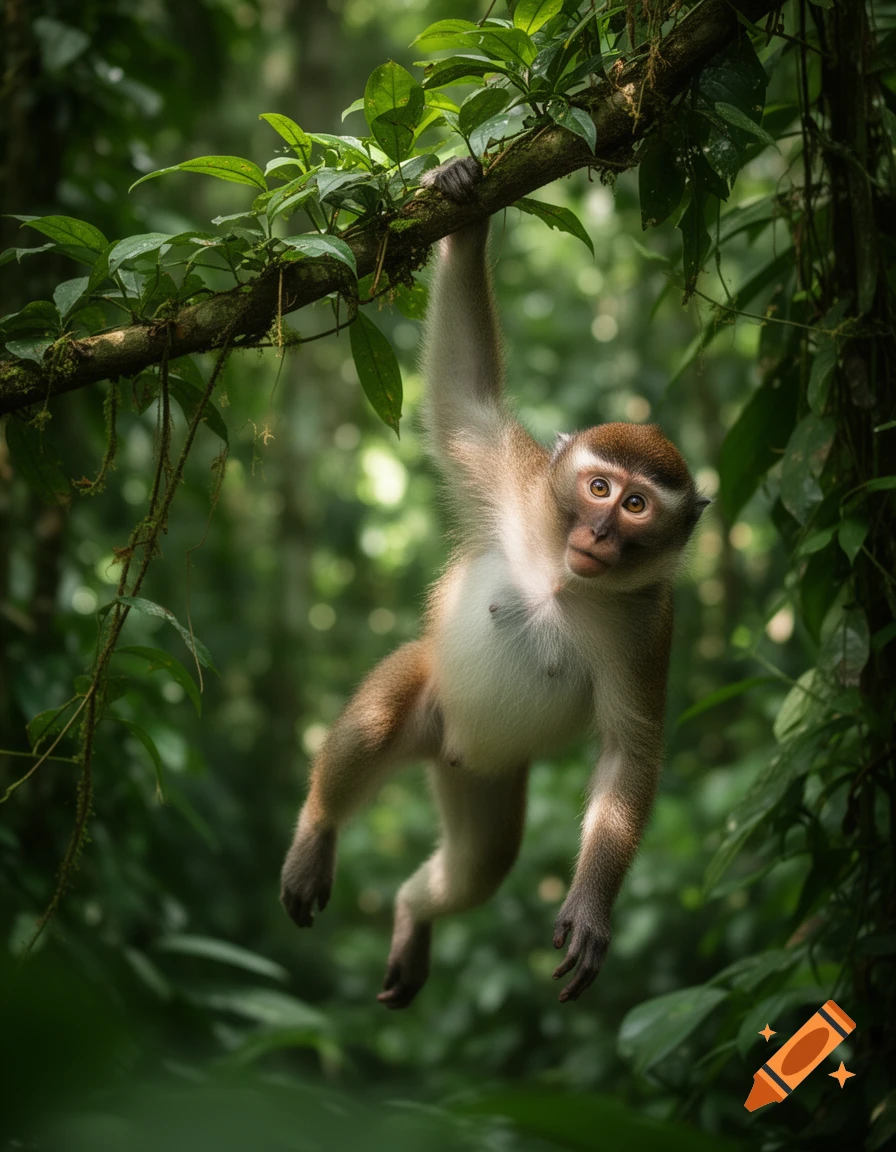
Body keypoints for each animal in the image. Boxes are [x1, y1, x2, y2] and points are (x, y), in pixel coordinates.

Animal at [280, 156, 709, 1009]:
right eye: (599, 487)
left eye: (637, 506)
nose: (600, 536)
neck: (562, 576)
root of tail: (451, 747)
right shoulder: (515, 478)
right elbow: (463, 397)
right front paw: (465, 208)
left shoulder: (649, 621)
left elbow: (629, 748)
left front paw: (591, 906)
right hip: (430, 701)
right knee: (374, 726)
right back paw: (317, 829)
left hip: (488, 775)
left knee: (482, 863)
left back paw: (413, 912)